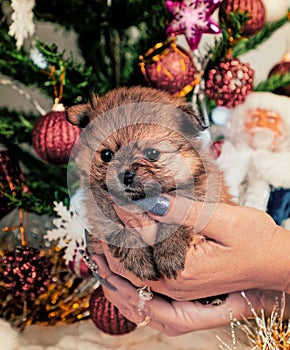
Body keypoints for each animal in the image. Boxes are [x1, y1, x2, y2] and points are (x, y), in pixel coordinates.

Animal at [66, 86, 233, 284]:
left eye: (152, 153)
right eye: (107, 155)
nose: (125, 175)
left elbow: (175, 222)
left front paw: (169, 253)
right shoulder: (100, 214)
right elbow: (119, 231)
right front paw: (139, 260)